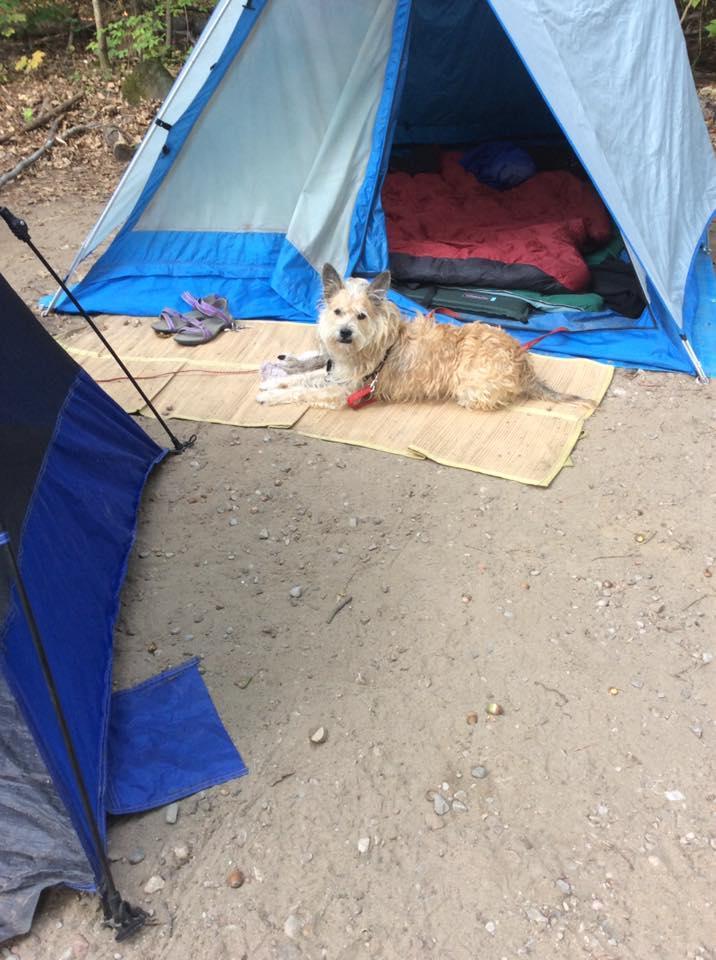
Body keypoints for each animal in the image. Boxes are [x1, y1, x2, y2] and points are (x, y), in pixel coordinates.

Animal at [256, 264, 589, 411]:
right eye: (338, 312)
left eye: (361, 315)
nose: (345, 333)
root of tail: (522, 361)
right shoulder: (335, 374)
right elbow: (305, 378)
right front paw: (274, 383)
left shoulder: (342, 392)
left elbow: (303, 392)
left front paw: (272, 395)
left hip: (470, 389)